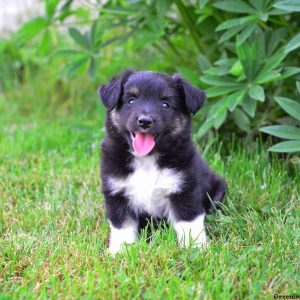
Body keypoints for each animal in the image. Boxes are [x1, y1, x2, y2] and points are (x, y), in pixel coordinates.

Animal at [99, 71, 227, 255]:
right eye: (131, 100)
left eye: (165, 104)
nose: (144, 121)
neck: (146, 160)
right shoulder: (117, 192)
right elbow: (122, 225)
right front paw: (120, 251)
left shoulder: (184, 189)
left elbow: (189, 221)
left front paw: (196, 249)